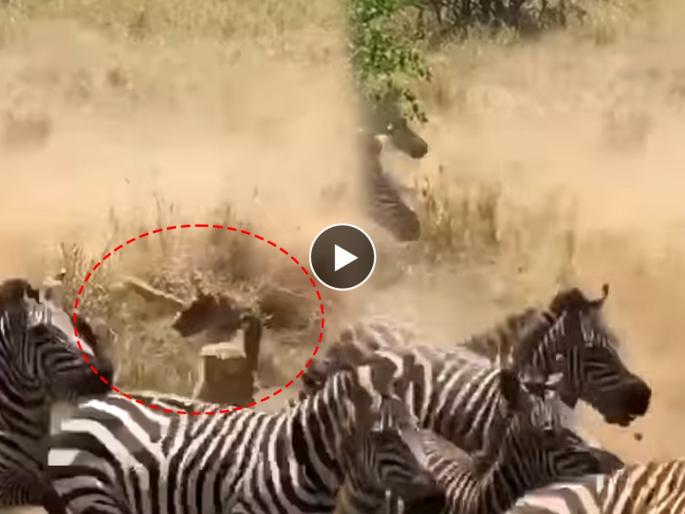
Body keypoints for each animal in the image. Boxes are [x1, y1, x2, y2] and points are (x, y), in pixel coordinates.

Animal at [46, 355, 444, 514]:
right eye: (382, 437)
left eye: (417, 427)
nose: (437, 500)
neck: (302, 460)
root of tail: (89, 404)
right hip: (94, 497)